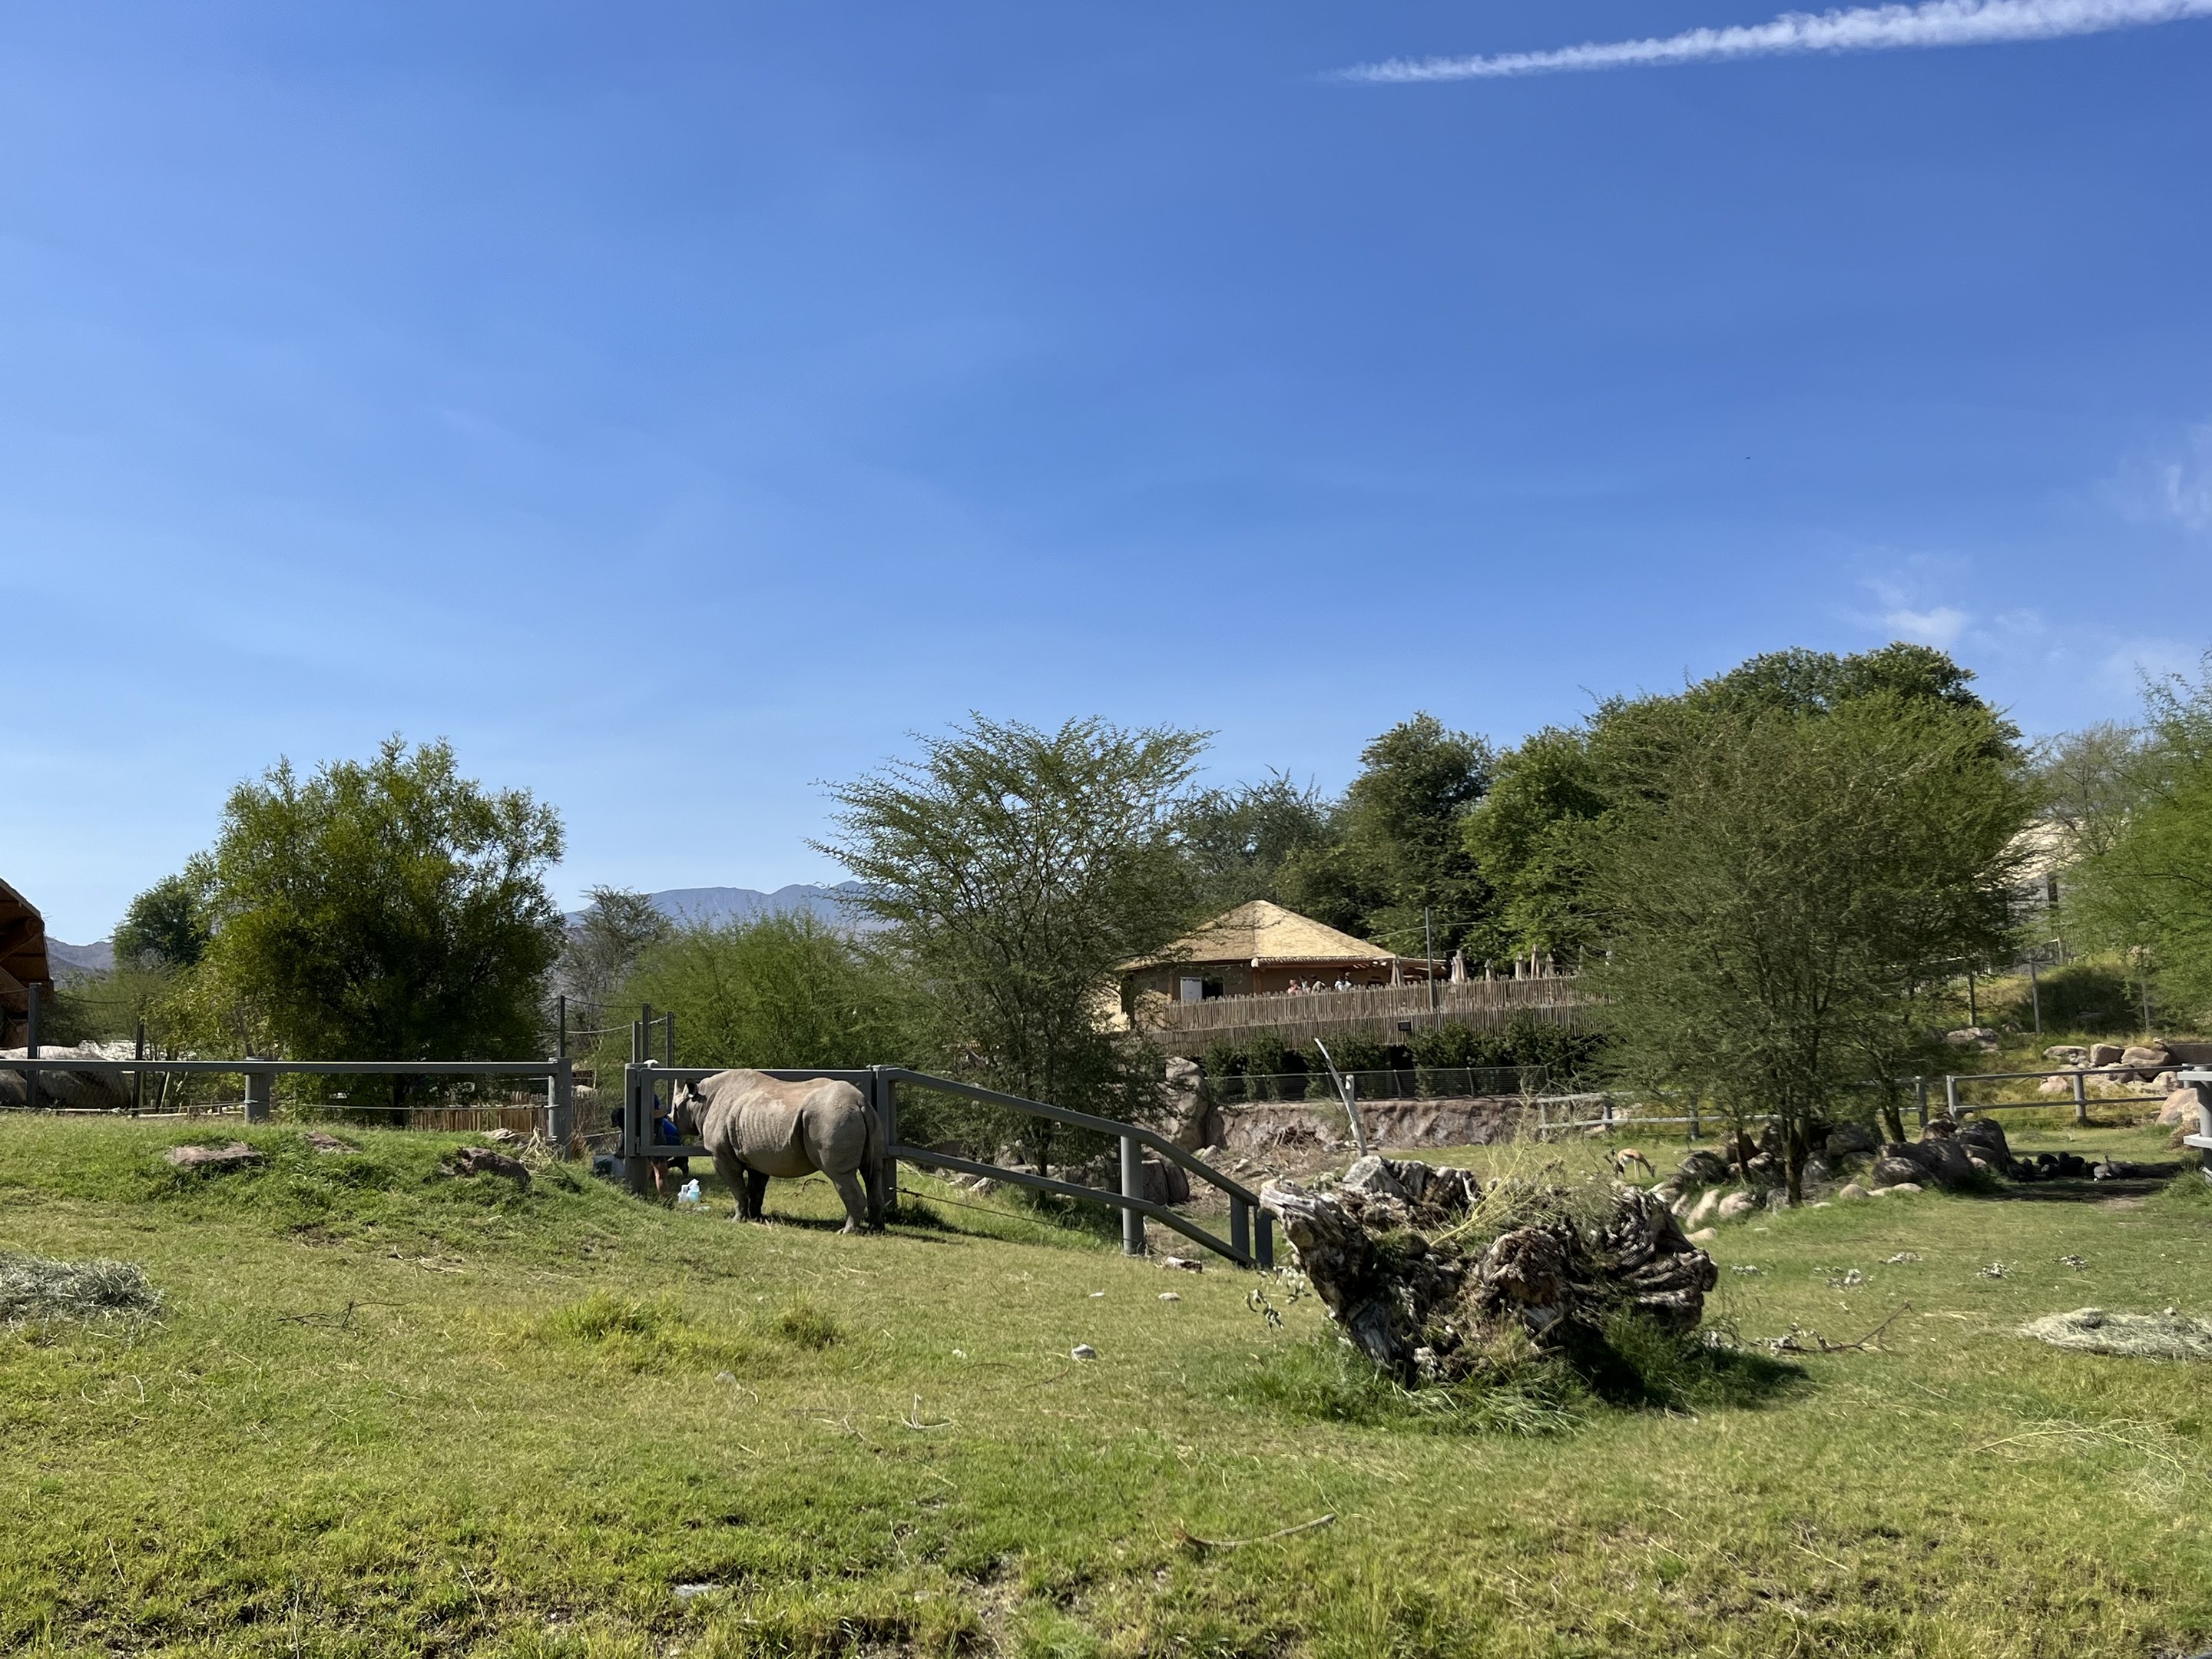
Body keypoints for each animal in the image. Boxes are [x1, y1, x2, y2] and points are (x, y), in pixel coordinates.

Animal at [673, 1070, 885, 1233]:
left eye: (675, 1108)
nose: (668, 1117)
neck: (701, 1101)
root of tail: (859, 1102)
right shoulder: (757, 1154)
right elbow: (756, 1189)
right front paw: (756, 1218)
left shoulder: (721, 1154)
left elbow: (737, 1188)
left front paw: (737, 1220)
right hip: (868, 1117)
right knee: (873, 1173)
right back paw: (876, 1229)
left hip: (831, 1116)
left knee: (840, 1175)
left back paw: (846, 1231)